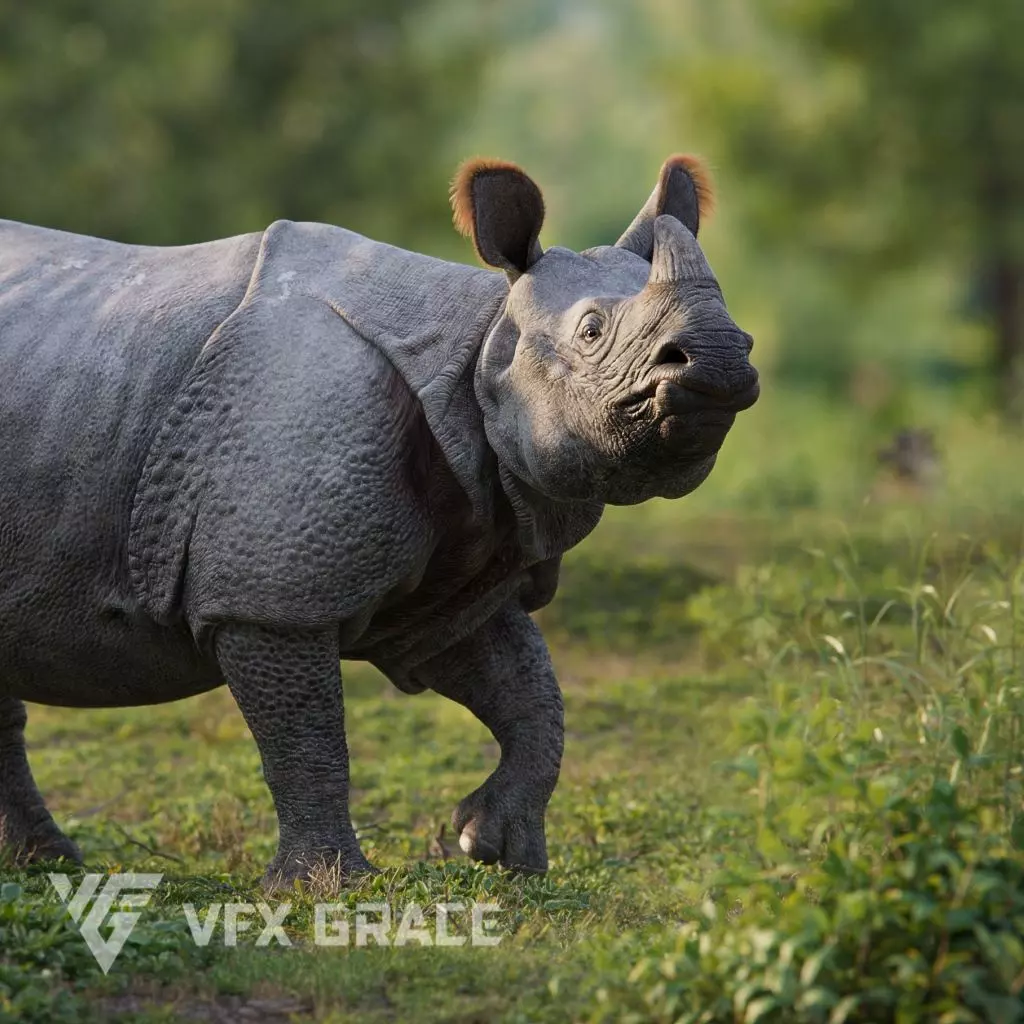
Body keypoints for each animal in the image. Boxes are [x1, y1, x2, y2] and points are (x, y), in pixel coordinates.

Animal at [0, 154, 758, 888]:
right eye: (593, 331)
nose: (722, 355)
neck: (476, 347)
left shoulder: (458, 558)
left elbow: (529, 689)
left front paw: (494, 849)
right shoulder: (269, 593)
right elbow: (307, 734)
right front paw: (327, 887)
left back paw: (45, 865)